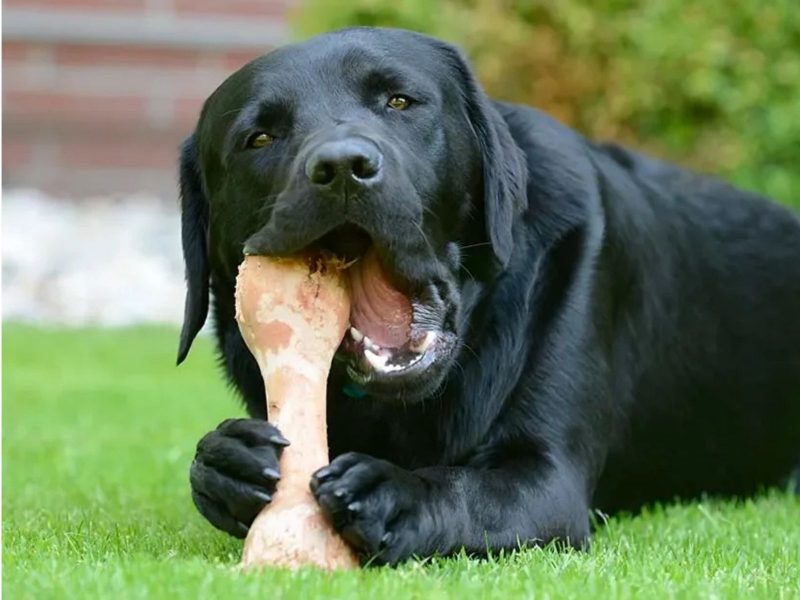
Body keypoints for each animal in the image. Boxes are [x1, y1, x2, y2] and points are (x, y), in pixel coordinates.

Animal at [180, 27, 800, 564]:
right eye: (260, 137)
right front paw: (227, 461)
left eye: (400, 101)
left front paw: (394, 492)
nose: (341, 166)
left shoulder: (546, 478)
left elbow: (462, 488)